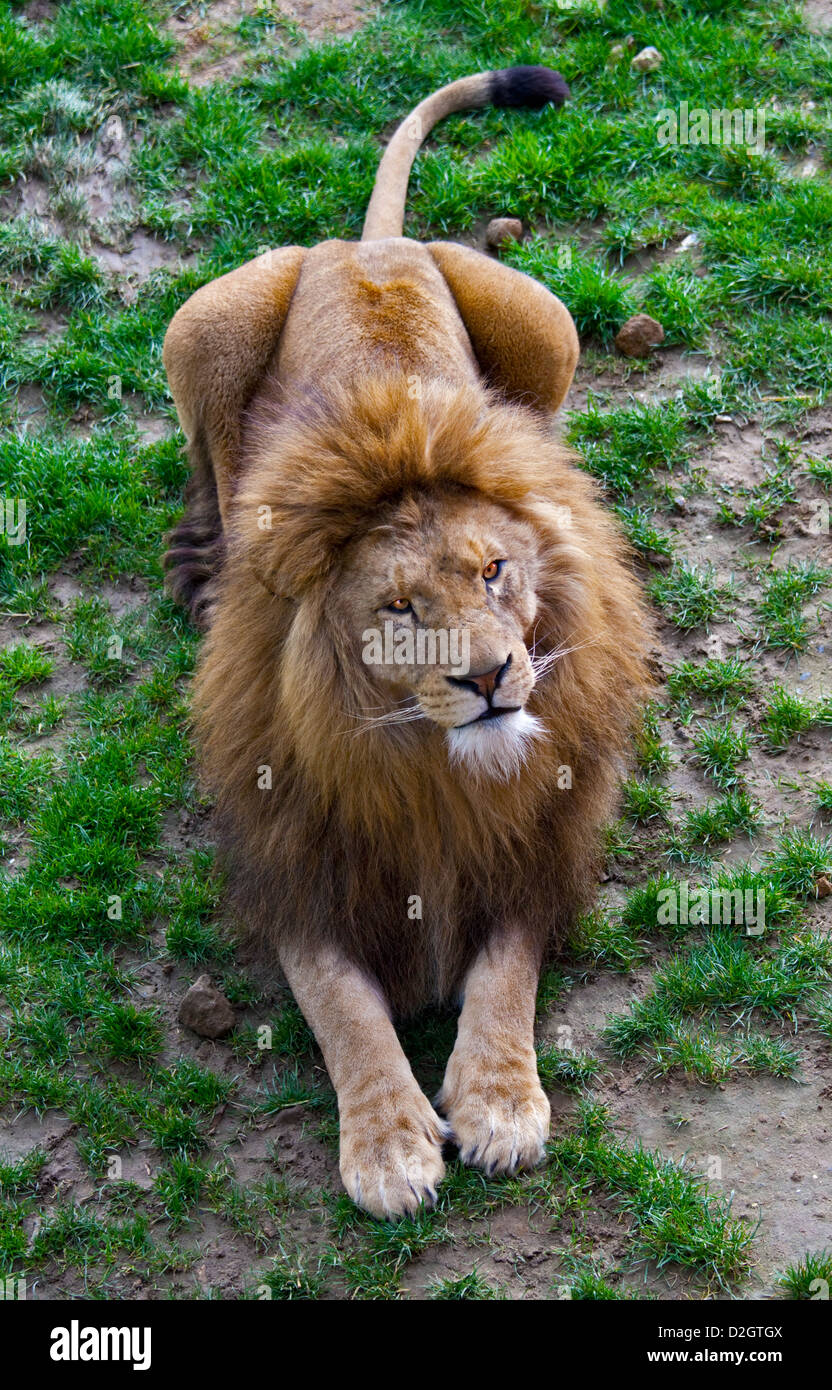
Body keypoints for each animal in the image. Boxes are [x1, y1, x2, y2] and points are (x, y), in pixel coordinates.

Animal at [163, 66, 652, 1219]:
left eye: (494, 571)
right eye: (397, 609)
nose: (492, 677)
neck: (426, 763)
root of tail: (368, 249)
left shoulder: (537, 841)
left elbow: (507, 968)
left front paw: (499, 1100)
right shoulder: (292, 853)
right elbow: (340, 1003)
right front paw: (387, 1146)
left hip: (546, 326)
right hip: (205, 326)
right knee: (206, 450)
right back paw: (200, 565)